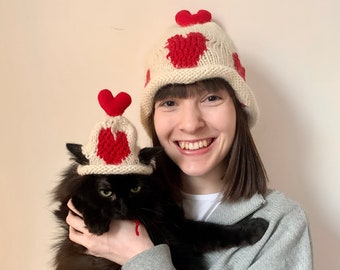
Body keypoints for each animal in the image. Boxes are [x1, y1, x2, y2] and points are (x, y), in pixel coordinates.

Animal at [52, 143, 268, 270]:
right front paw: (96, 223)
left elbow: (217, 231)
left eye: (136, 188)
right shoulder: (67, 215)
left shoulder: (174, 226)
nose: (123, 208)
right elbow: (76, 202)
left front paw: (257, 227)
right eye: (106, 192)